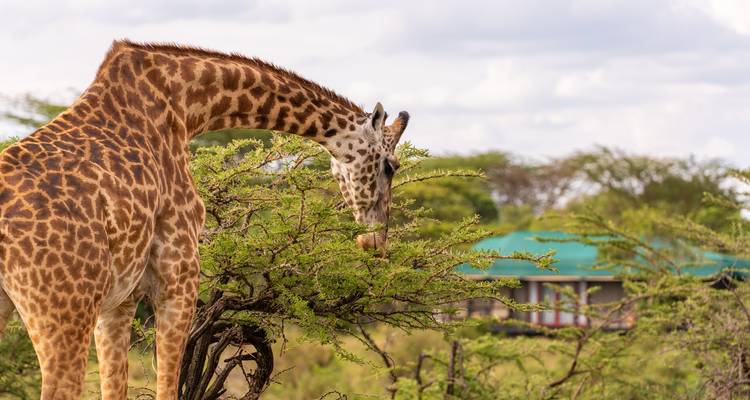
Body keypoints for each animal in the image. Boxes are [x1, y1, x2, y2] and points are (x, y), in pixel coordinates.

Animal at [0, 40, 409, 399]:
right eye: (391, 166)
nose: (375, 242)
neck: (187, 104)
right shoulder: (179, 273)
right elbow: (167, 388)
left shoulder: (121, 300)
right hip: (67, 311)